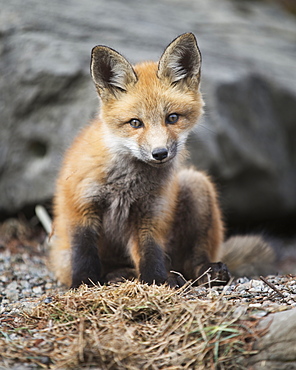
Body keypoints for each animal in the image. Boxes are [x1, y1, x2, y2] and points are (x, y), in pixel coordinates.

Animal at [49, 33, 276, 288]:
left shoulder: (152, 211)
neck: (126, 183)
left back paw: (200, 273)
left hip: (196, 185)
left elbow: (151, 252)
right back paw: (119, 276)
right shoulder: (81, 206)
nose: (160, 153)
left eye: (172, 118)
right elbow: (84, 253)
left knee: (192, 261)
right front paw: (83, 284)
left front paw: (156, 282)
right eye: (135, 123)